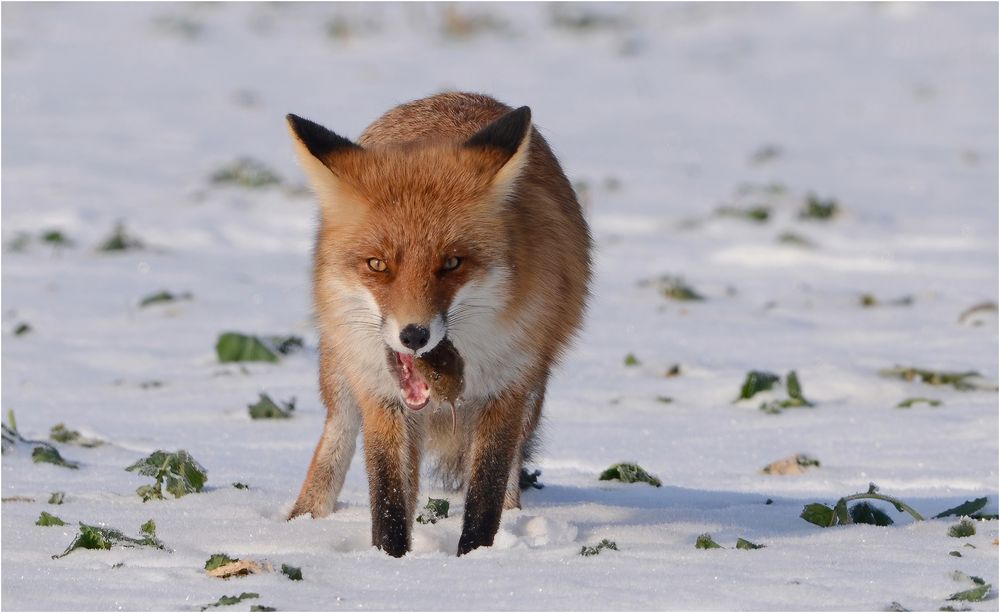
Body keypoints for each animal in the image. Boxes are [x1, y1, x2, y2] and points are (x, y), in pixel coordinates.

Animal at [286, 91, 588, 556]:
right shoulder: (382, 396)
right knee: (337, 433)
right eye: (377, 265)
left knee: (511, 476)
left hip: (533, 391)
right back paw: (303, 523)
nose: (414, 335)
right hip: (342, 366)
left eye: (451, 263)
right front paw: (388, 560)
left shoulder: (507, 386)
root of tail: (452, 97)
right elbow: (389, 497)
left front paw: (475, 558)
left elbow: (484, 493)